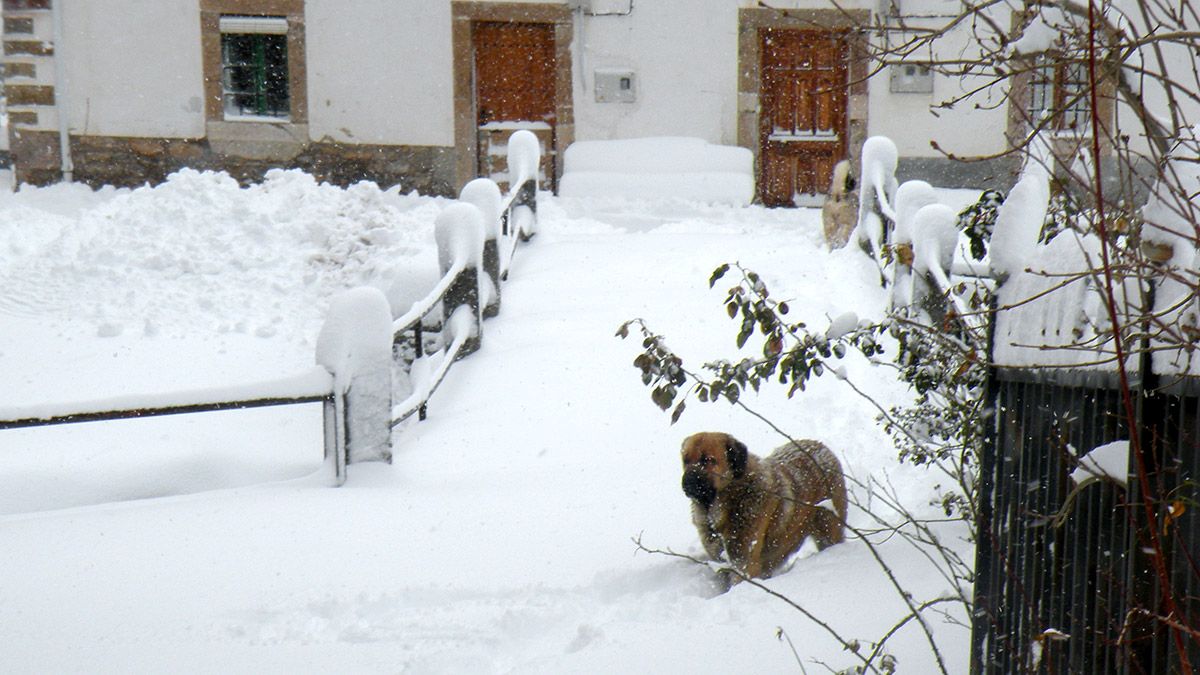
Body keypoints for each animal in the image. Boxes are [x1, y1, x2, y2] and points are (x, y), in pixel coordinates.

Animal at [686, 432, 844, 581]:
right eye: (685, 460)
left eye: (708, 460)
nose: (687, 483)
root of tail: (821, 446)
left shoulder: (745, 564)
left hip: (829, 530)